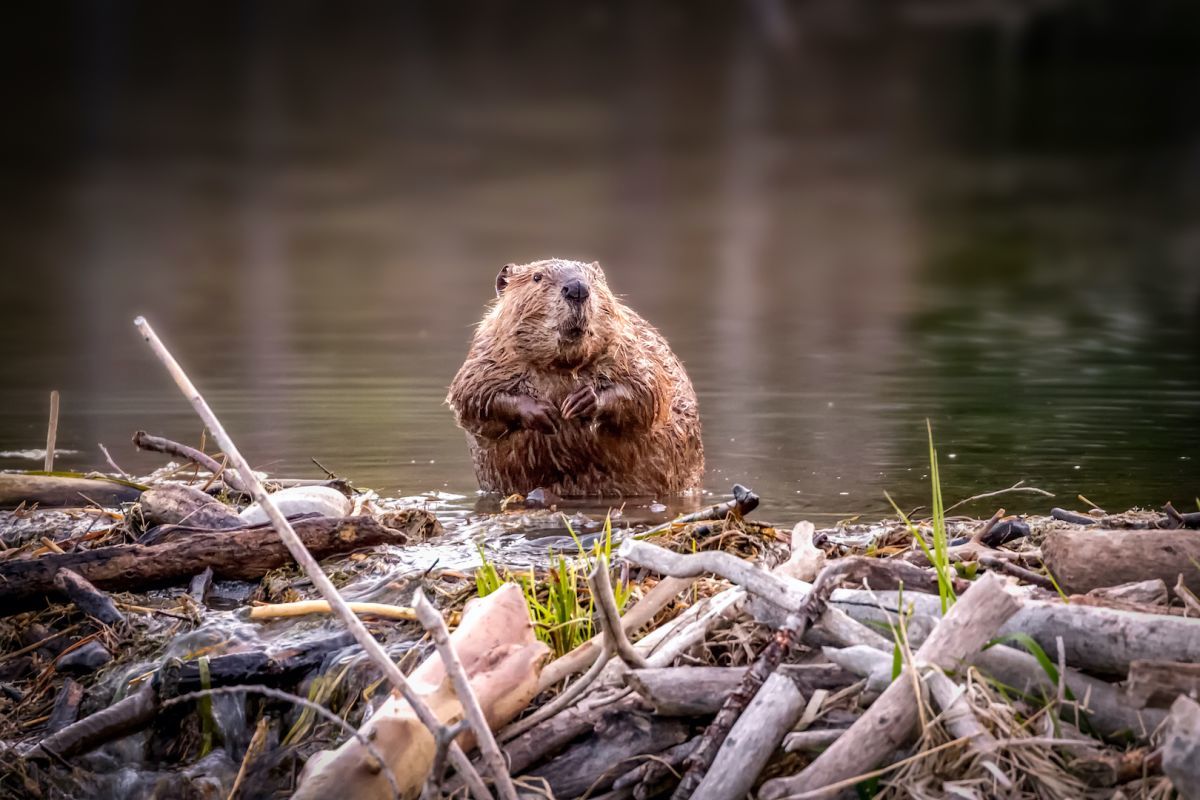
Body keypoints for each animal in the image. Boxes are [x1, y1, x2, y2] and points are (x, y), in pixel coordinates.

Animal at [448, 260, 700, 496]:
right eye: (537, 277)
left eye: (593, 278)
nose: (577, 288)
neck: (561, 366)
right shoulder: (486, 355)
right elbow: (472, 397)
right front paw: (544, 412)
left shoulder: (631, 346)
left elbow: (647, 390)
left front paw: (581, 402)